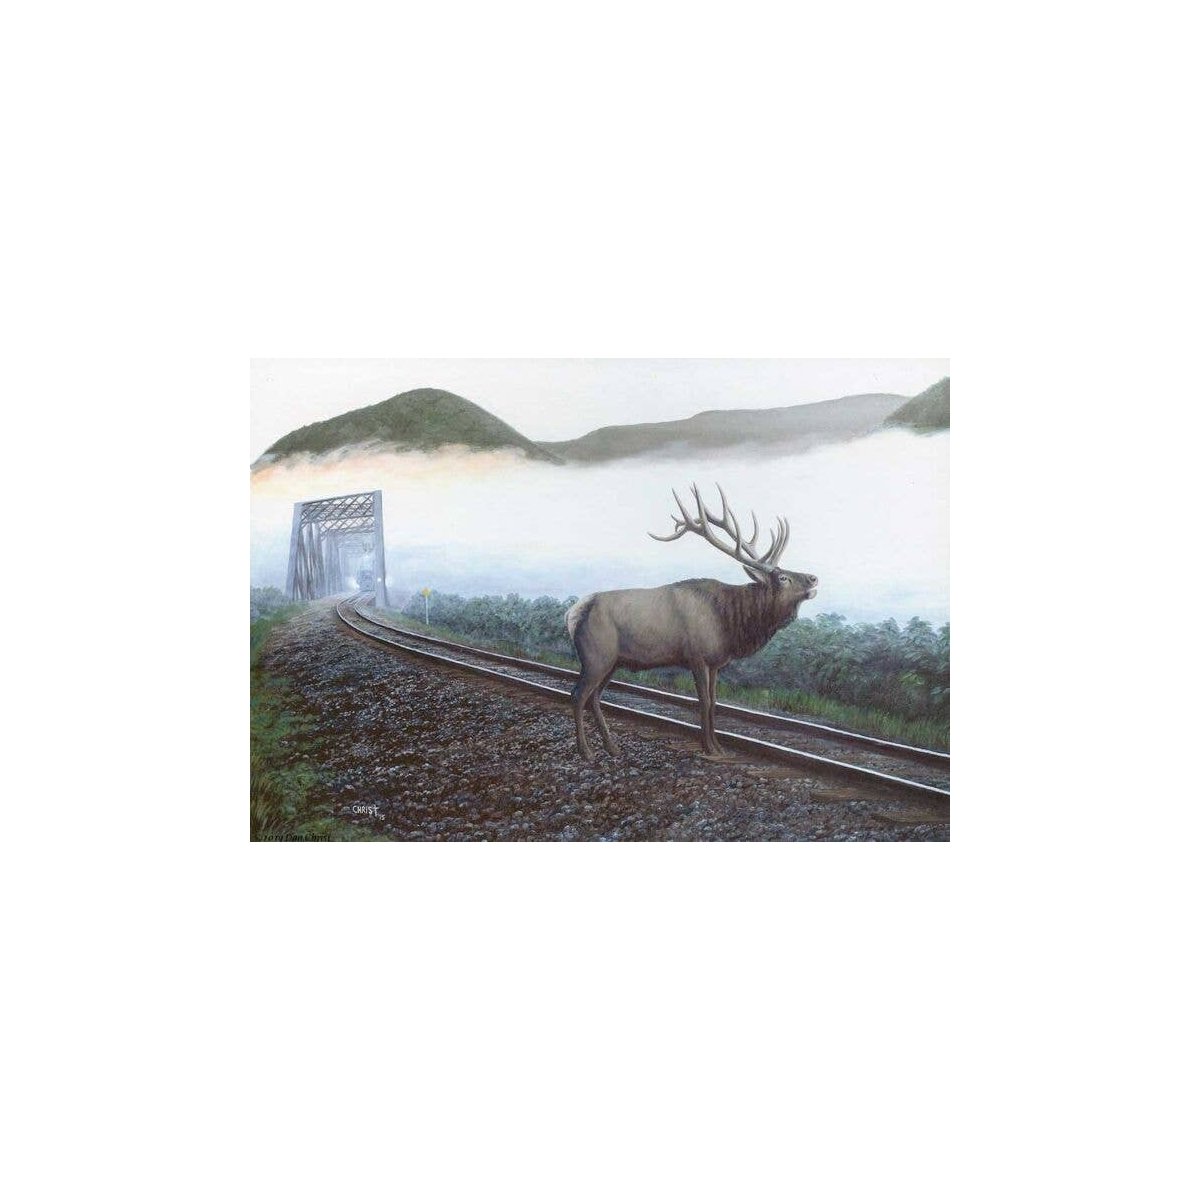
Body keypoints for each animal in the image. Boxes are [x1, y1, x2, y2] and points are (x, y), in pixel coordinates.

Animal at [565, 484, 818, 761]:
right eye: (783, 578)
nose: (814, 578)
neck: (731, 624)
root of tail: (572, 613)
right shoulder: (697, 656)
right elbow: (703, 701)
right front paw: (709, 748)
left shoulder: (717, 662)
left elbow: (715, 702)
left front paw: (718, 746)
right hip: (595, 656)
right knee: (578, 695)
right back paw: (586, 751)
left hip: (612, 661)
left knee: (595, 697)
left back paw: (612, 747)